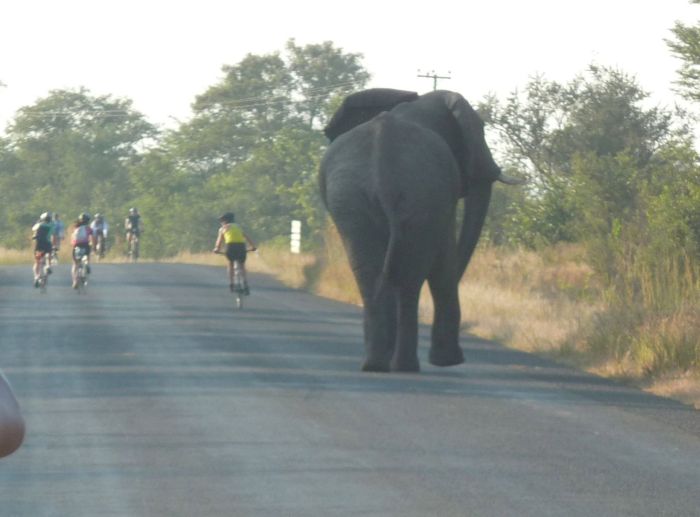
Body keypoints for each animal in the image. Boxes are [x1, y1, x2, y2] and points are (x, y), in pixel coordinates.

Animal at [318, 88, 520, 370]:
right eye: (482, 129)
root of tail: (382, 167)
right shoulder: (443, 196)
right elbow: (444, 260)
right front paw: (448, 361)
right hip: (414, 195)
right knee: (409, 277)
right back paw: (404, 365)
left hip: (356, 198)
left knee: (374, 274)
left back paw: (377, 364)